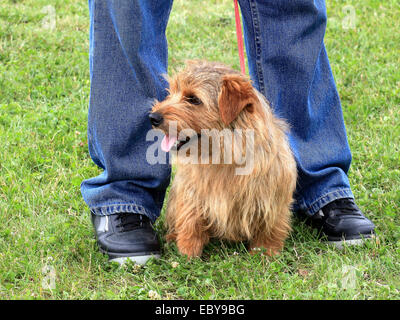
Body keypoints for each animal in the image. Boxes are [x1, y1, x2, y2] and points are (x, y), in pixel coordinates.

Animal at [150, 60, 296, 258]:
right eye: (171, 92)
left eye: (193, 99)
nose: (153, 117)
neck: (222, 155)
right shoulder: (192, 192)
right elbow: (191, 220)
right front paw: (188, 252)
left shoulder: (271, 198)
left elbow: (270, 228)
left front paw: (265, 253)